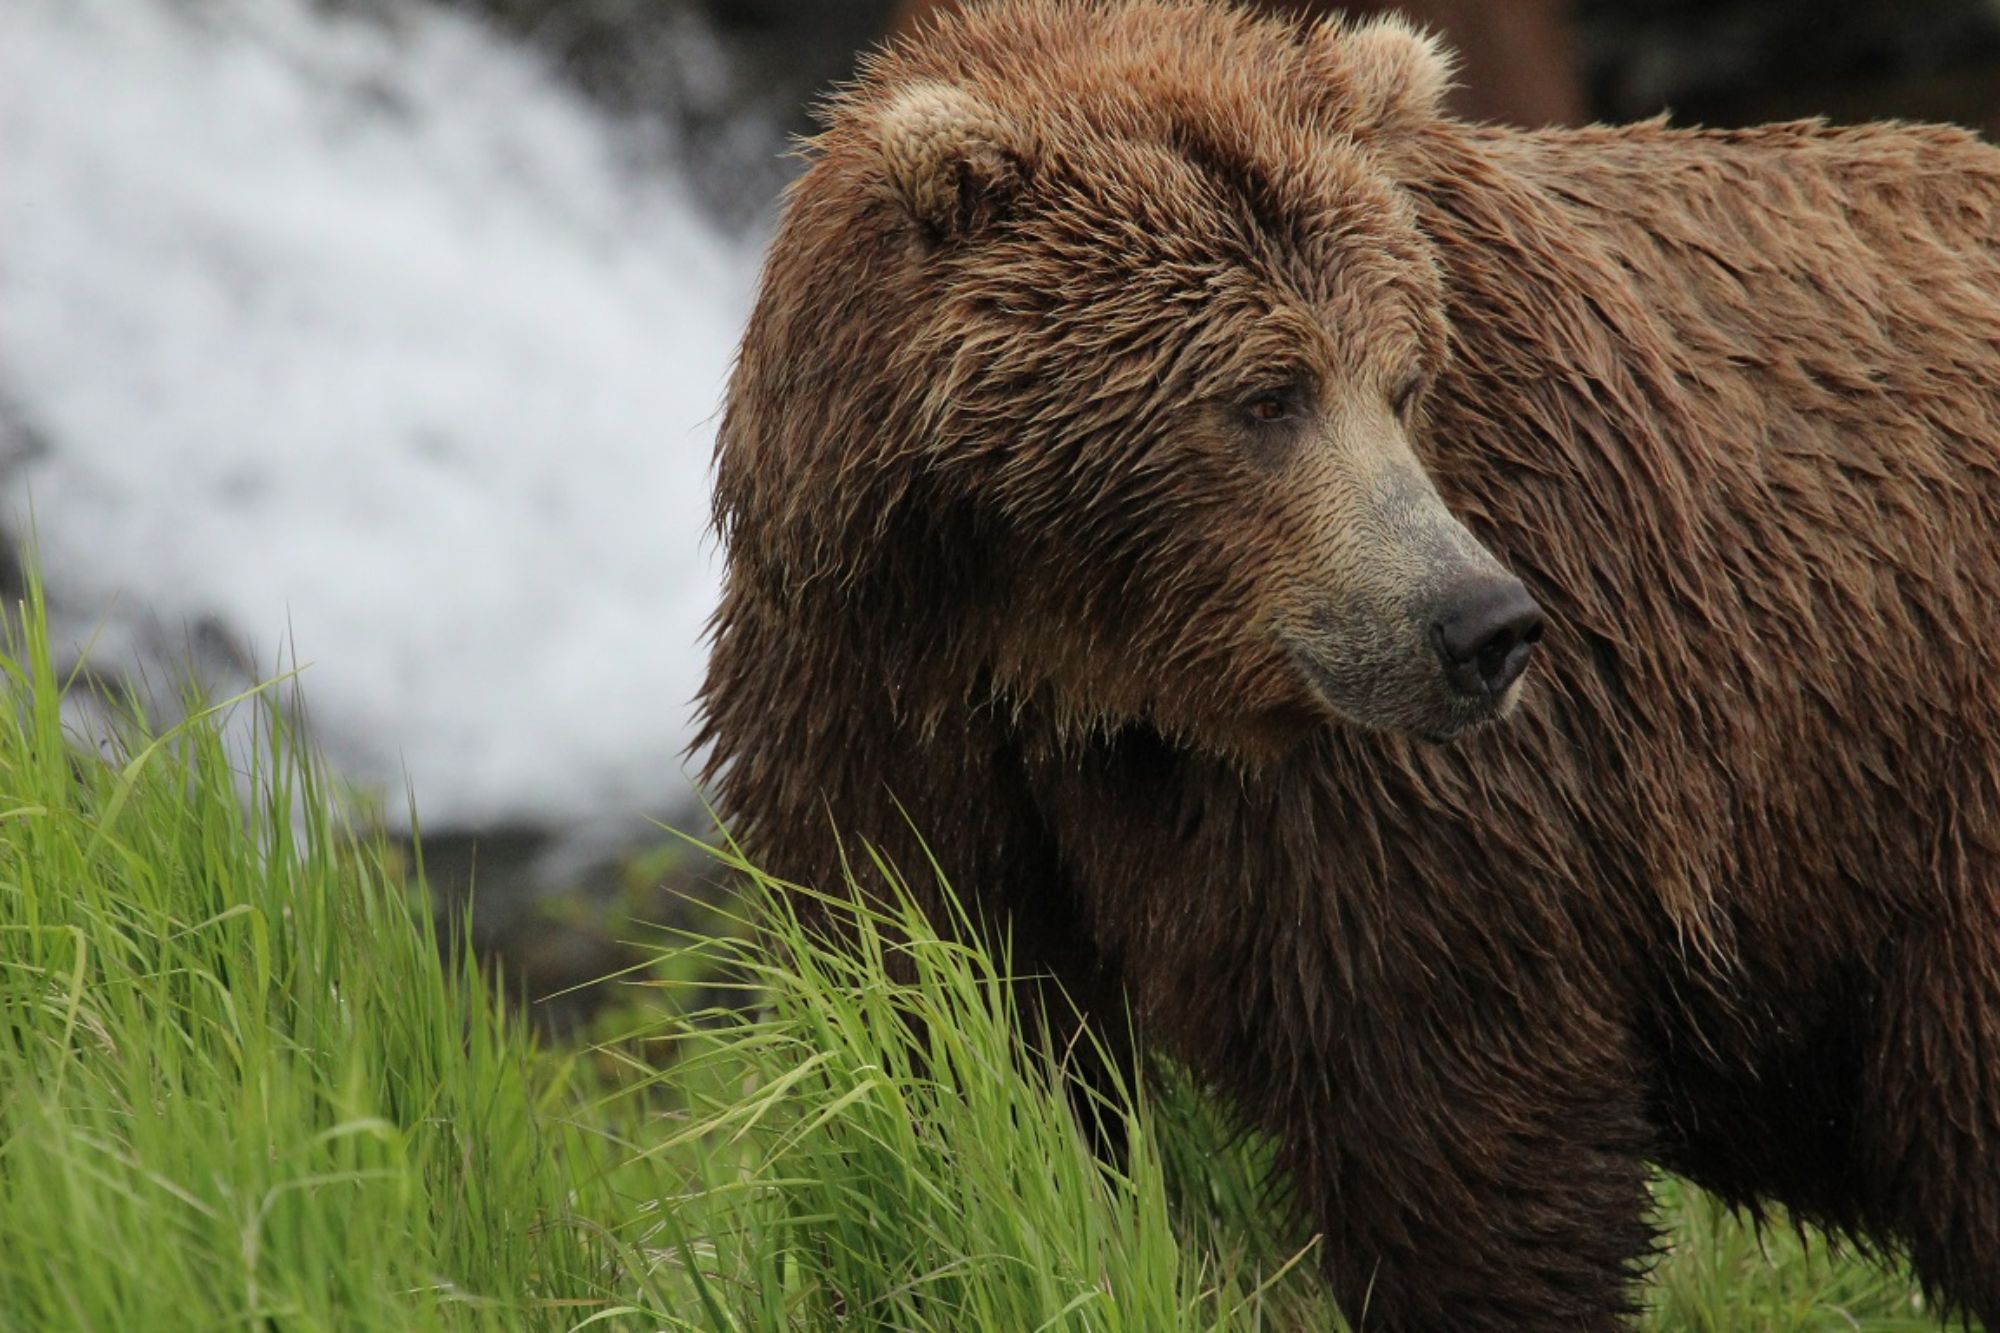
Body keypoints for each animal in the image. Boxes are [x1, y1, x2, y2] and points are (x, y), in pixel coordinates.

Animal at [696, 5, 2000, 1320]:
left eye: (1402, 378)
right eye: (1266, 396)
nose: (1481, 624)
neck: (1084, 659)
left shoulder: (1414, 801)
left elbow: (1449, 1130)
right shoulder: (876, 688)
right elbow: (937, 1030)